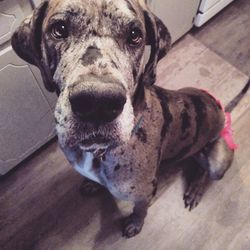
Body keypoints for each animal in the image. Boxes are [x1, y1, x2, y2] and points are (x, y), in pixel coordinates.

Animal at [12, 0, 250, 238]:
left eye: (135, 35)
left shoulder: (144, 193)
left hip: (218, 161)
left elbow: (140, 211)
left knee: (205, 170)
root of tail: (222, 111)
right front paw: (92, 185)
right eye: (59, 29)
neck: (99, 153)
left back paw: (195, 190)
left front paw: (135, 225)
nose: (98, 103)